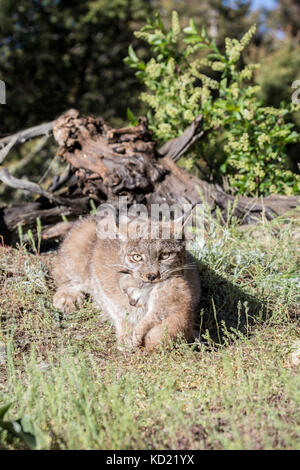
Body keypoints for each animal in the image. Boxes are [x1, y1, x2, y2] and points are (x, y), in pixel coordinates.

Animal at [52, 213, 200, 348]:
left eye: (165, 256)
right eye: (137, 257)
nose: (151, 276)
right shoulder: (104, 286)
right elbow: (119, 310)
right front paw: (127, 333)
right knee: (60, 272)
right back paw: (67, 297)